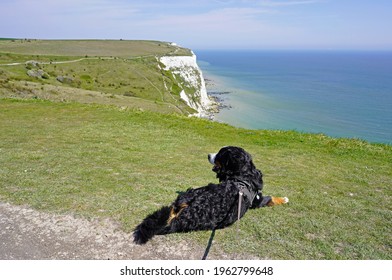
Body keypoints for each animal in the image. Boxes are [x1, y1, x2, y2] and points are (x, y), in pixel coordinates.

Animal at [132, 145, 288, 244]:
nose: (208, 155)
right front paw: (284, 199)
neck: (242, 176)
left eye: (219, 154)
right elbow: (269, 198)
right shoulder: (257, 200)